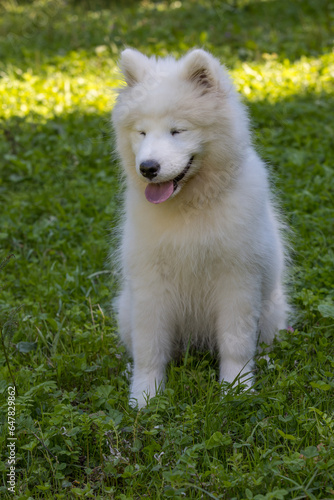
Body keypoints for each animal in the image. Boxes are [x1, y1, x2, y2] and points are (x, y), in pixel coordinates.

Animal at [111, 47, 288, 406]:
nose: (147, 168)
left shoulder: (237, 280)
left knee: (261, 344)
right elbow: (149, 347)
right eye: (141, 132)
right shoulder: (150, 283)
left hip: (272, 310)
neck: (191, 207)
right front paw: (144, 397)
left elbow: (236, 343)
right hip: (125, 309)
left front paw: (236, 389)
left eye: (178, 131)